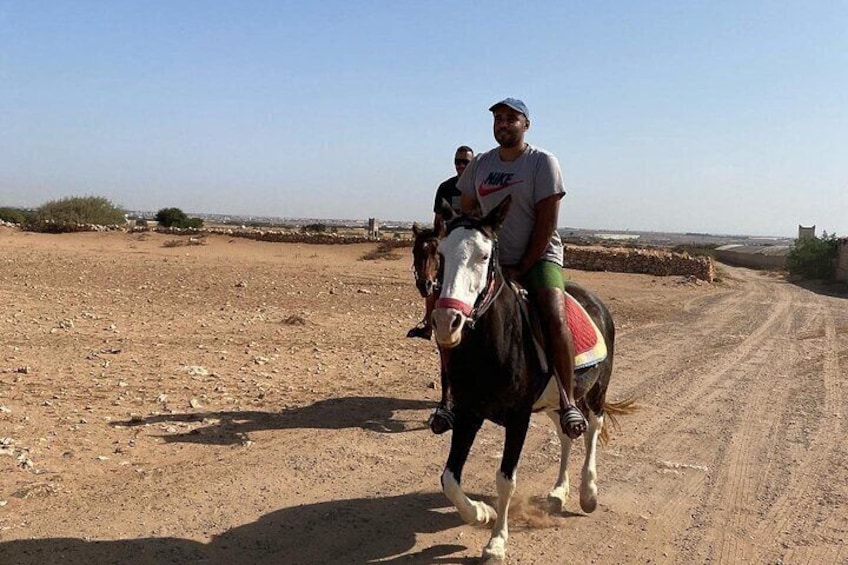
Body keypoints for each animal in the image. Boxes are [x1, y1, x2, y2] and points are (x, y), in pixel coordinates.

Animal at [428, 196, 632, 560]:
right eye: (442, 254)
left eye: (484, 256)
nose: (446, 321)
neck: (492, 345)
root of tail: (596, 303)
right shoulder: (468, 413)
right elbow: (449, 478)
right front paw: (481, 513)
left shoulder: (518, 417)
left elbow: (505, 480)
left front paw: (496, 542)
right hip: (556, 403)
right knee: (567, 435)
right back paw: (559, 492)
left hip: (596, 392)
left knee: (592, 430)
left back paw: (588, 493)